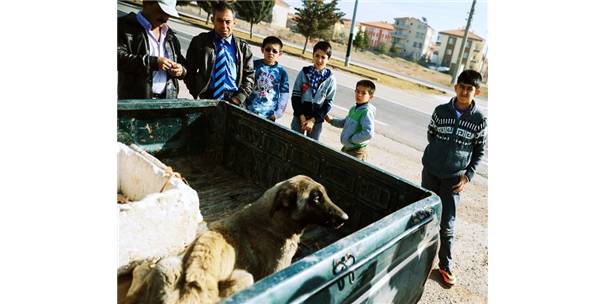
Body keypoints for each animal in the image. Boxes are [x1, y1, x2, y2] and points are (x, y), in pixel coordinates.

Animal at [124, 175, 350, 302]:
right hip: (245, 278)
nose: (345, 218)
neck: (273, 222)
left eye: (323, 195)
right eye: (316, 198)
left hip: (166, 265)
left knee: (138, 278)